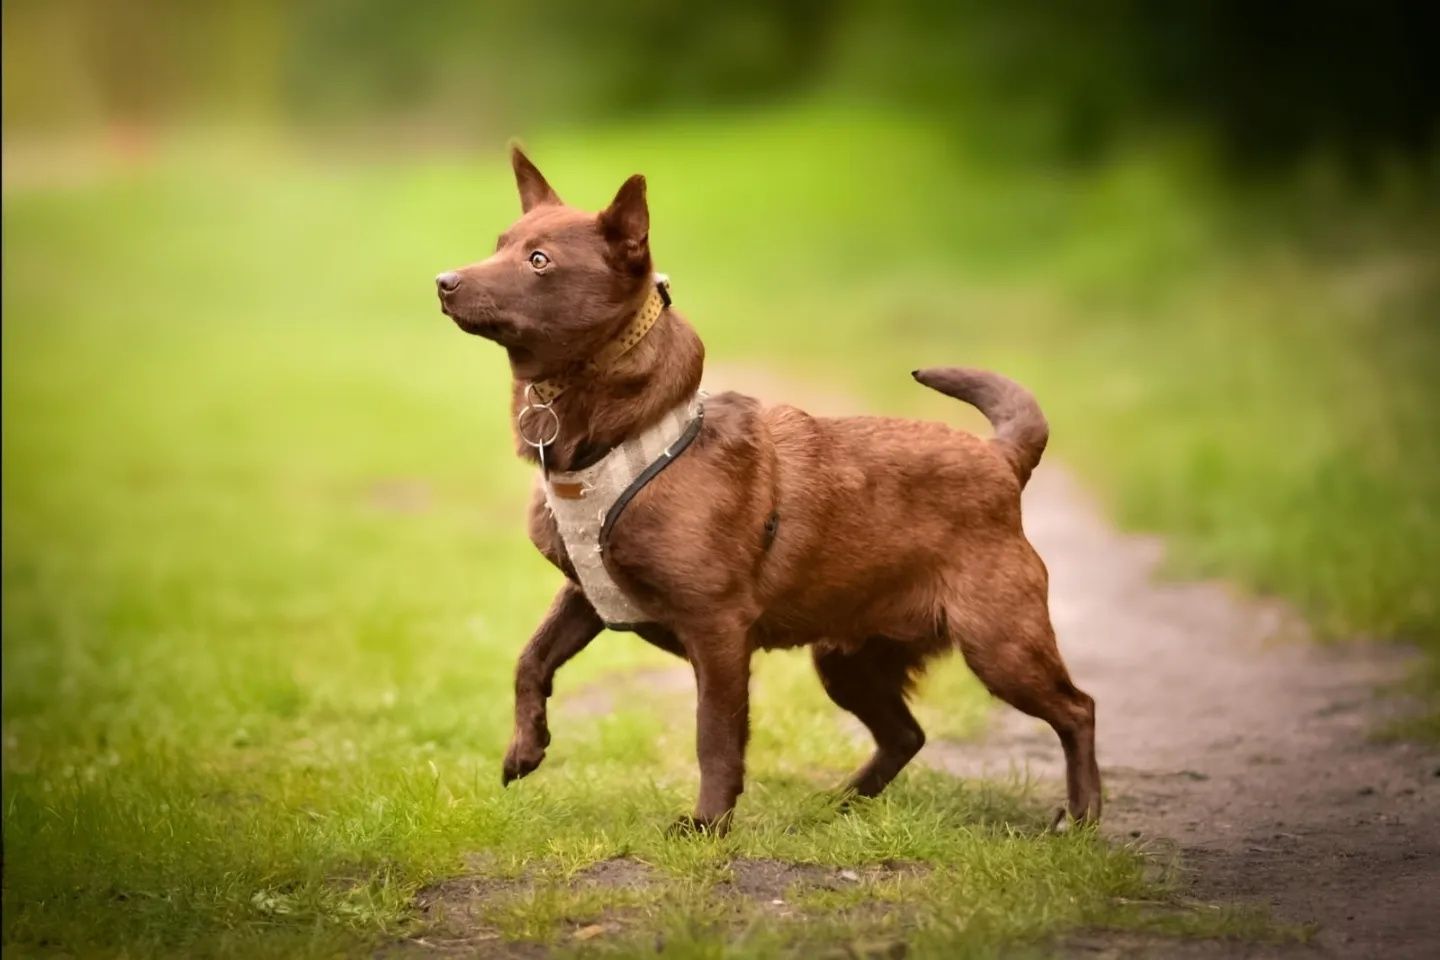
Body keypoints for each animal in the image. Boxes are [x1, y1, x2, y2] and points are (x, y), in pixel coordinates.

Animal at [432, 150, 1094, 834]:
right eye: (500, 245)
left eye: (539, 260)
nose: (443, 281)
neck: (623, 433)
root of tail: (1001, 459)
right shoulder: (586, 594)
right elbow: (530, 659)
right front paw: (525, 748)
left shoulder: (718, 630)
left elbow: (716, 734)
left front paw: (707, 825)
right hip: (847, 659)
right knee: (906, 734)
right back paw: (839, 803)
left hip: (1000, 644)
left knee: (1077, 710)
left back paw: (1082, 818)